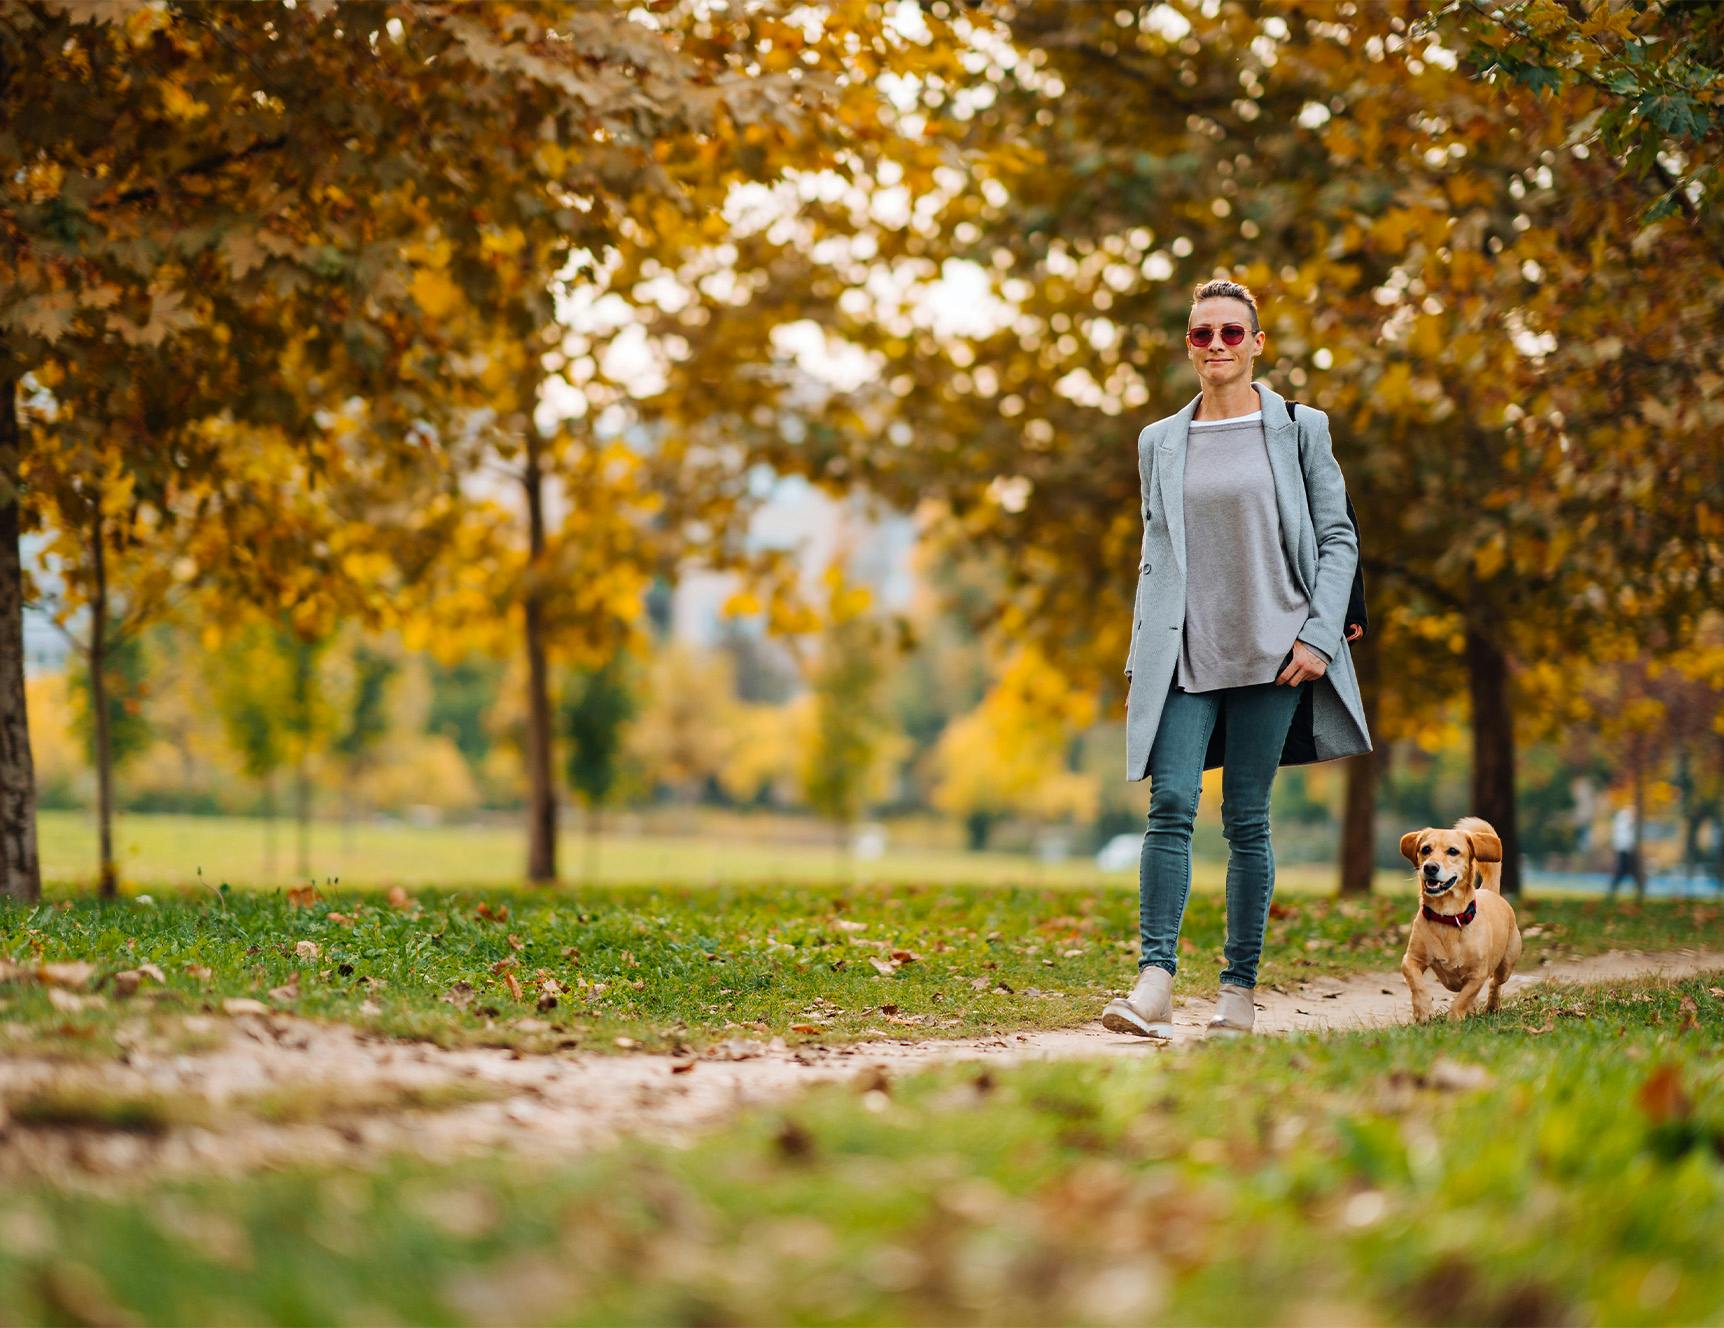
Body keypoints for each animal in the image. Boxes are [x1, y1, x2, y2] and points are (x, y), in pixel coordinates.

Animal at [1399, 814, 1524, 1021]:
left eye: (1453, 851)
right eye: (1425, 849)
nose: (1430, 867)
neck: (1447, 916)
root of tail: (1490, 891)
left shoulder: (1477, 975)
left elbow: (1463, 998)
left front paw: (1453, 1019)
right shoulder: (1411, 960)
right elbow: (1417, 984)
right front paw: (1423, 1011)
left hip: (1506, 964)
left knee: (1495, 983)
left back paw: (1492, 1006)